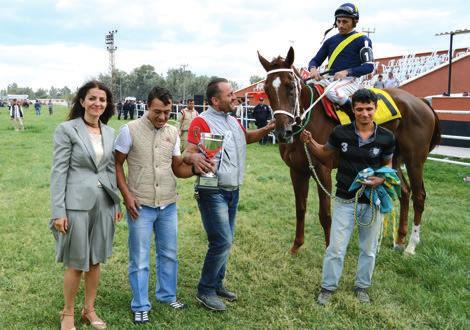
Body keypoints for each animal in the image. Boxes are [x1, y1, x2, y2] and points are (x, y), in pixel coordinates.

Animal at [260, 47, 440, 255]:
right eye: (266, 89)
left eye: (290, 87)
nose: (283, 132)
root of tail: (421, 102)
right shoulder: (297, 170)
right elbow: (300, 208)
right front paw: (296, 246)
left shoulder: (322, 170)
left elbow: (325, 214)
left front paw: (329, 248)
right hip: (393, 160)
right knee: (404, 191)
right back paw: (400, 240)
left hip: (414, 160)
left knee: (419, 196)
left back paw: (411, 245)